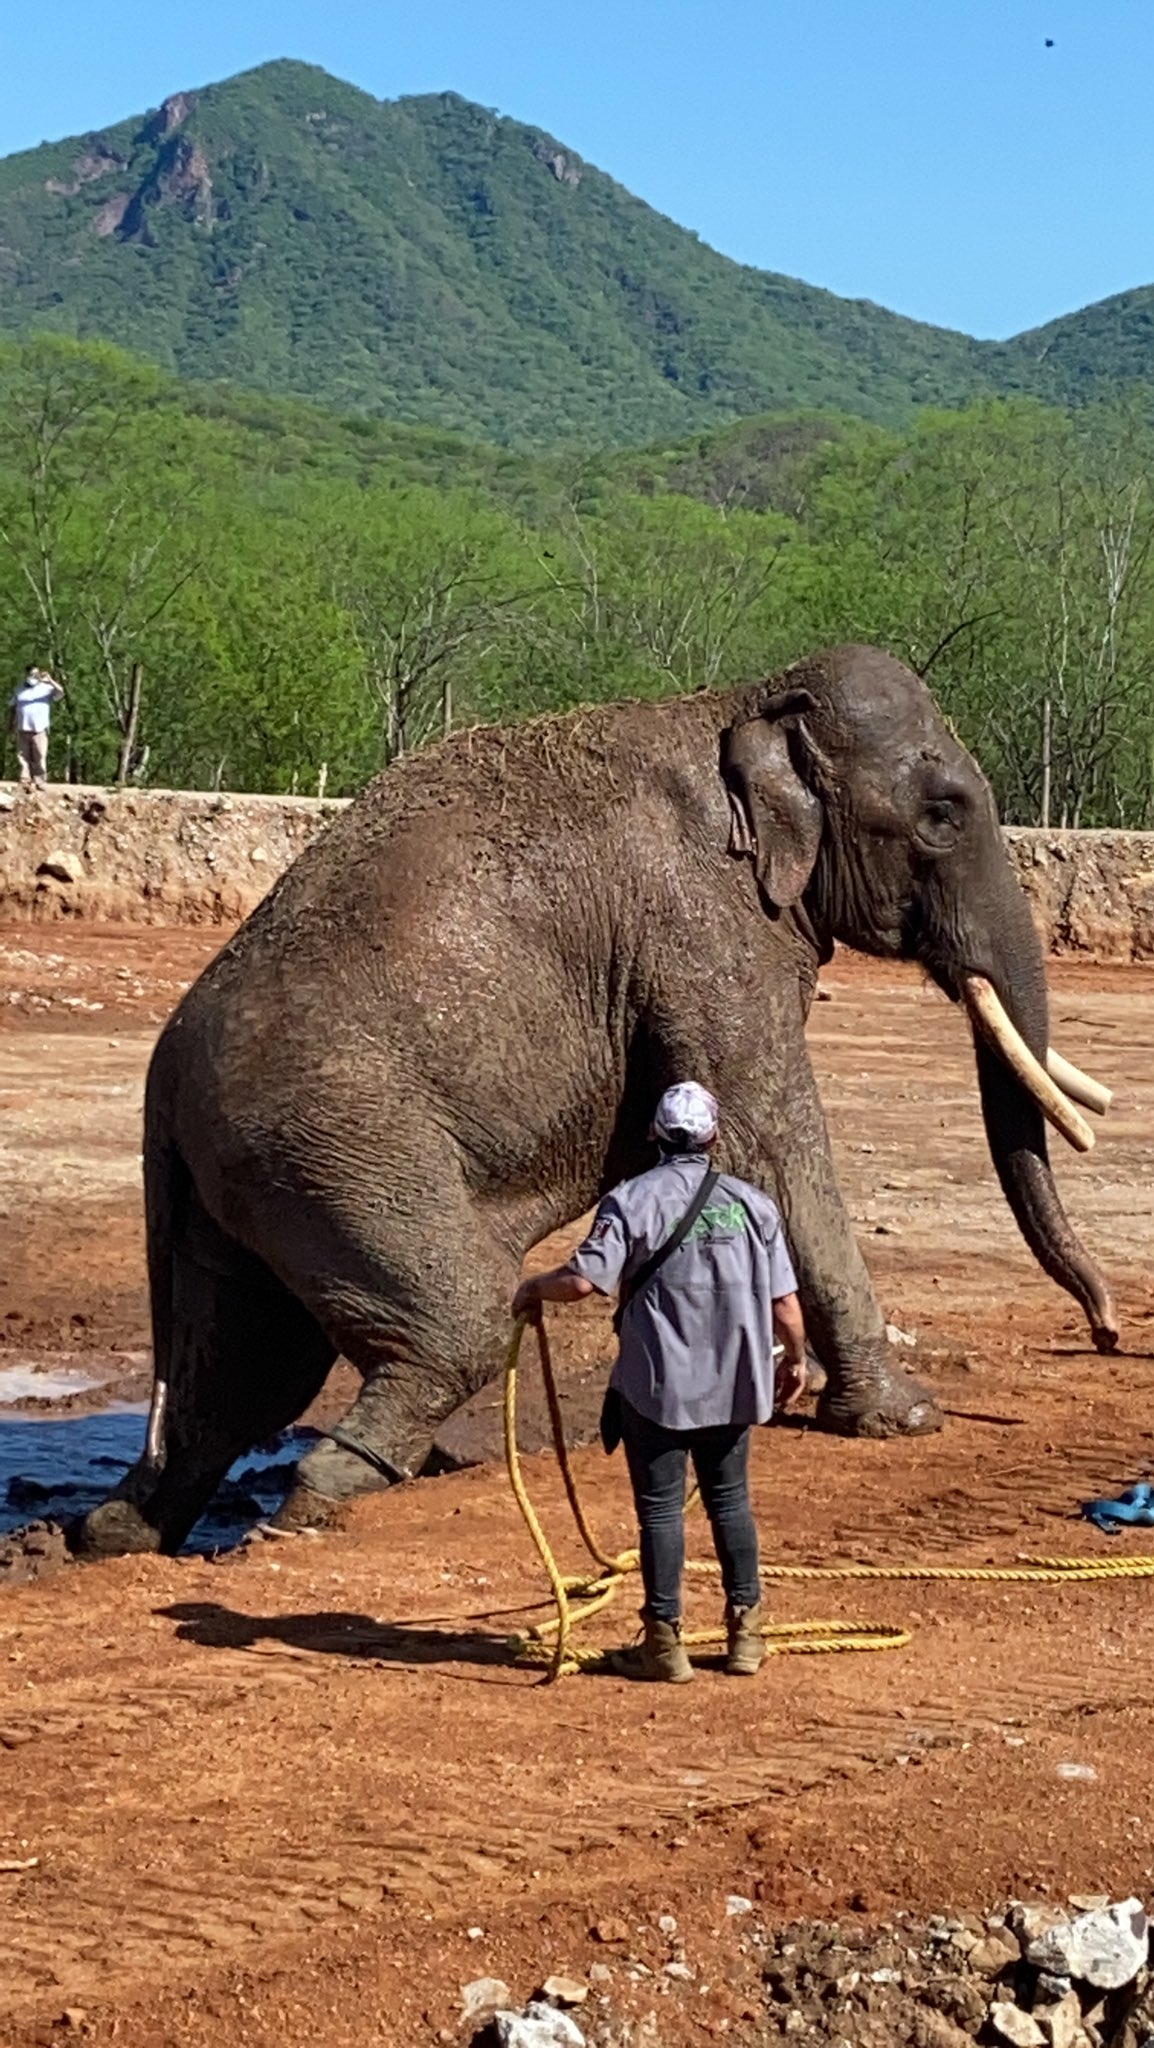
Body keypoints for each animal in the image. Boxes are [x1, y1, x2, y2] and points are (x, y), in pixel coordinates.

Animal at [72, 638, 1123, 1548]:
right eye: (944, 812)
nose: (1109, 1333)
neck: (740, 701)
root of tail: (161, 1081)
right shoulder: (704, 927)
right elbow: (768, 1134)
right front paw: (906, 1419)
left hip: (245, 1176)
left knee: (240, 1373)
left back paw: (114, 1534)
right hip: (335, 1141)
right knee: (459, 1319)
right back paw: (324, 1494)